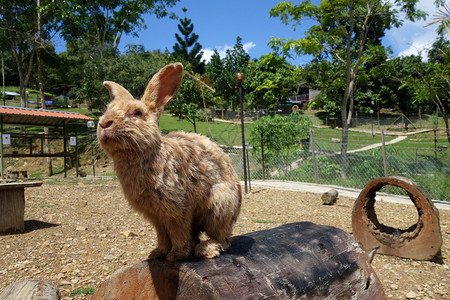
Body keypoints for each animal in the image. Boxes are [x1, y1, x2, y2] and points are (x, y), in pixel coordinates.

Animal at [96, 63, 241, 262]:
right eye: (107, 109)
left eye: (137, 113)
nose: (103, 124)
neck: (148, 153)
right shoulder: (156, 216)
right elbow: (162, 234)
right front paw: (158, 253)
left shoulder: (176, 208)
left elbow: (177, 231)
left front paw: (175, 255)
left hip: (219, 205)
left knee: (222, 237)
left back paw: (206, 249)